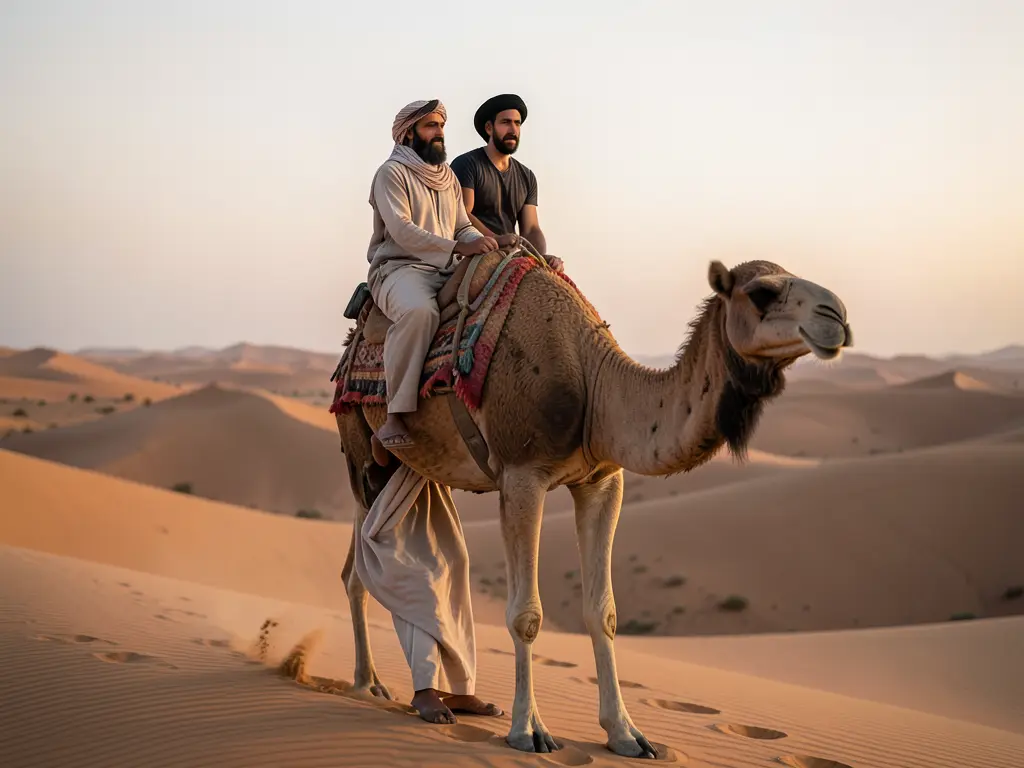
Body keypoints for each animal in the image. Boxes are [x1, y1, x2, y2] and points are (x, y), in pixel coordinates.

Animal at [334, 256, 852, 758]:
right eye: (762, 292)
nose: (839, 317)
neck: (594, 382)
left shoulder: (602, 481)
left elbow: (603, 611)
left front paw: (626, 734)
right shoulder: (522, 476)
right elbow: (526, 614)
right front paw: (529, 730)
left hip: (418, 468)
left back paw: (448, 700)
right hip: (363, 454)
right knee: (361, 569)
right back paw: (372, 685)